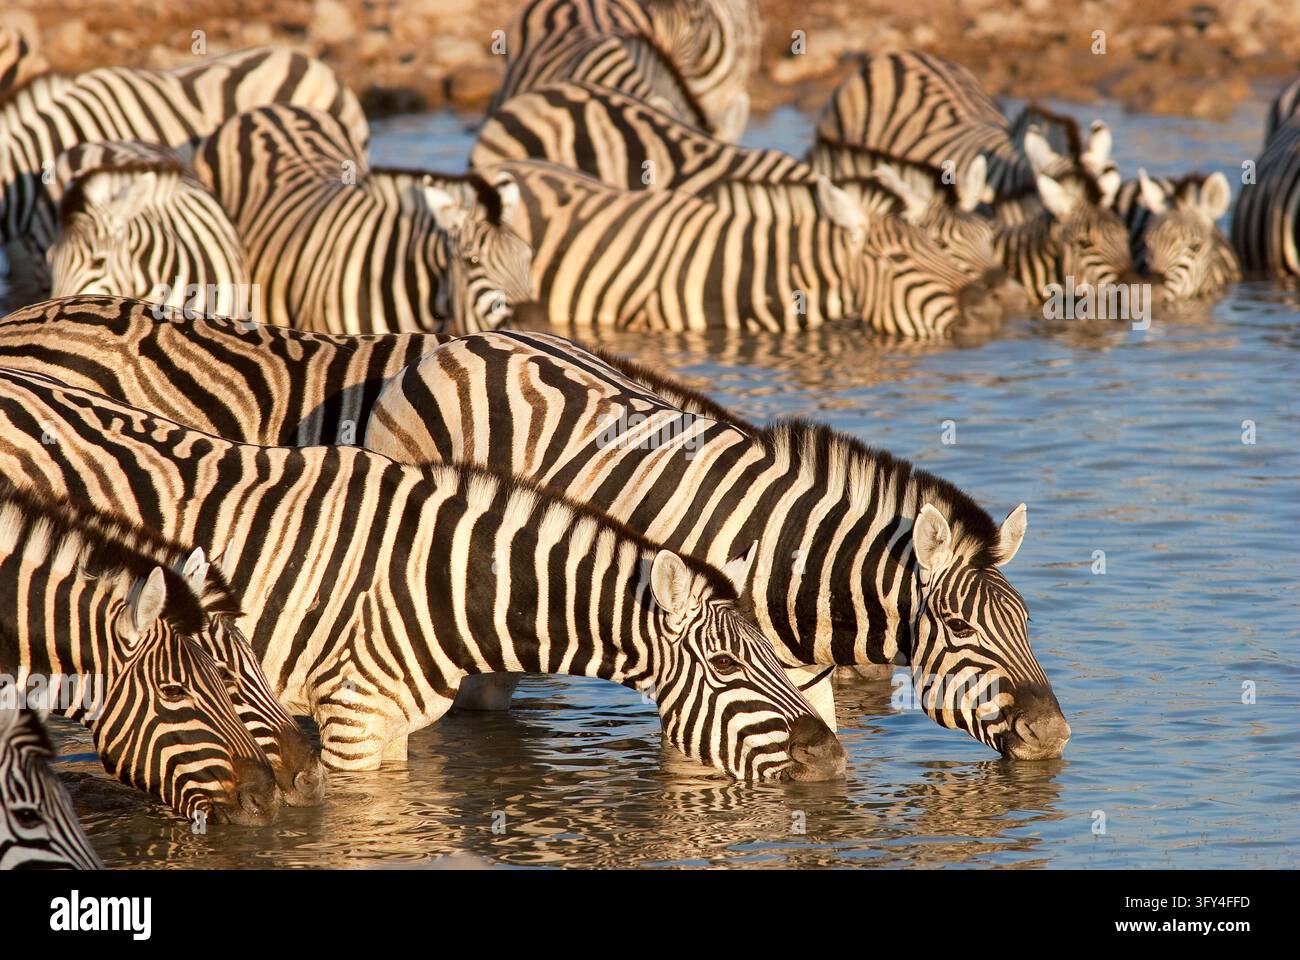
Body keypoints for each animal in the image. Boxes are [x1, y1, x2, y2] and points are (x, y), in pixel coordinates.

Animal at [0, 368, 845, 781]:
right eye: (728, 666)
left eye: (780, 656)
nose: (832, 760)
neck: (441, 579)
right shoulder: (348, 720)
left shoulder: (392, 726)